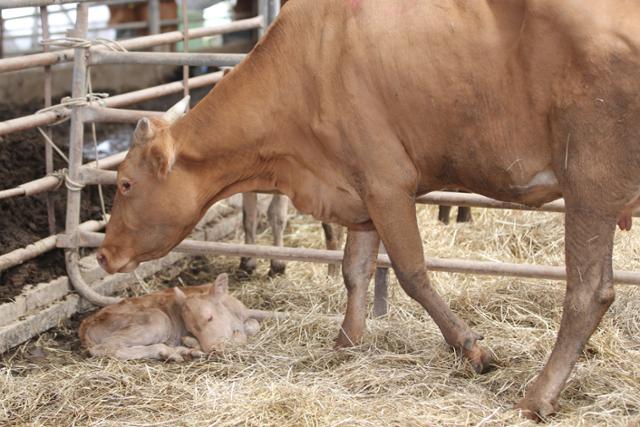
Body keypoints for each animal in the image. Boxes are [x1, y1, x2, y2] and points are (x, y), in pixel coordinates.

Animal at [95, 0, 640, 422]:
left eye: (125, 183)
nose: (102, 255)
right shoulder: (357, 189)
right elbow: (354, 269)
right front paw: (346, 341)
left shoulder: (386, 181)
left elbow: (412, 272)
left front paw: (472, 347)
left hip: (589, 181)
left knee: (588, 293)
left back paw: (536, 396)